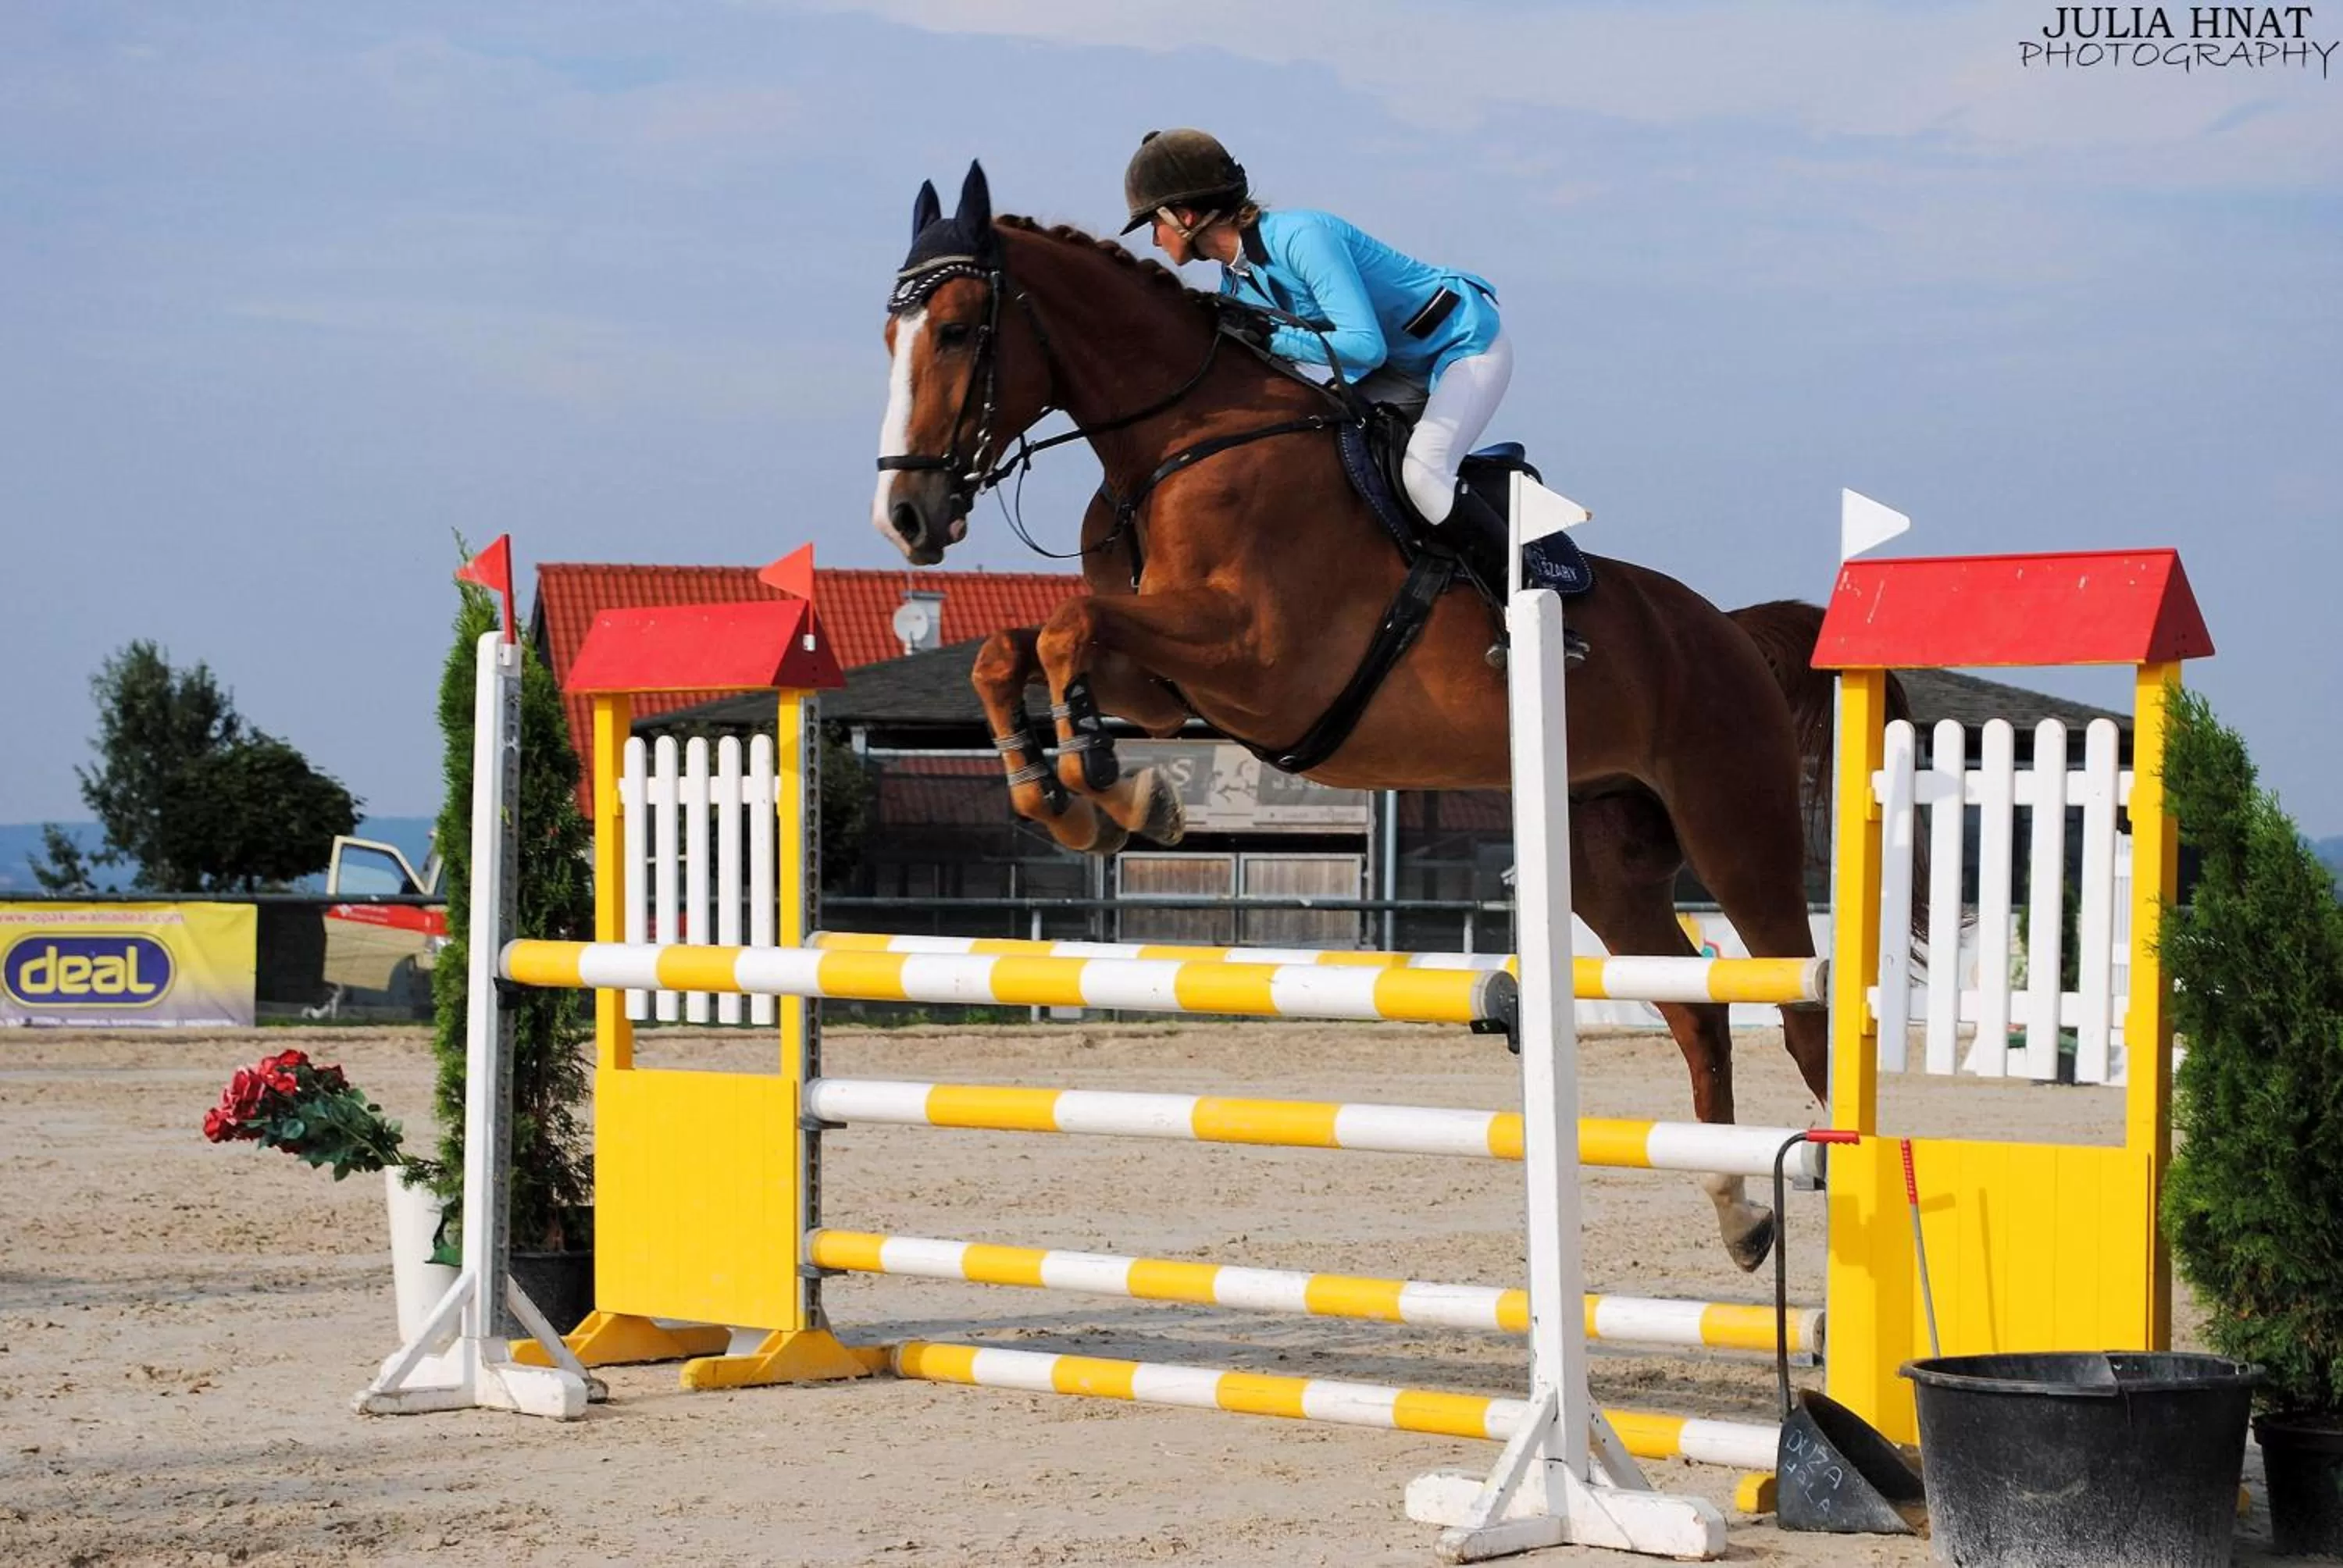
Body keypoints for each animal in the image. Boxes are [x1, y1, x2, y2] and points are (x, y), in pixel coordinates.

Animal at [871, 164, 1847, 1272]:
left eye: (957, 330)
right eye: (889, 334)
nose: (907, 518)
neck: (1178, 445)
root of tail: (1729, 630)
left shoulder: (1259, 661)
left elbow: (1069, 630)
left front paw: (1101, 787)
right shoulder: (1168, 684)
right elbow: (1015, 649)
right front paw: (1092, 796)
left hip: (1737, 828)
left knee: (1800, 1007)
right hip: (1603, 855)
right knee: (1695, 1012)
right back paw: (1739, 1212)